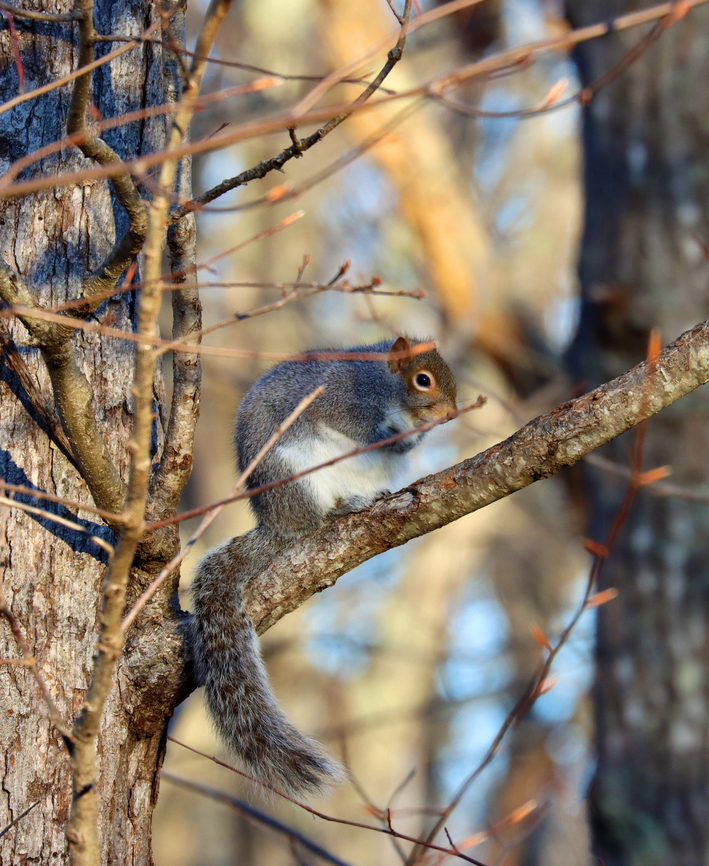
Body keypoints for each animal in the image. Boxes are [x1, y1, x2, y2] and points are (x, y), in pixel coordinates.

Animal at [189, 336, 457, 796]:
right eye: (423, 380)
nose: (452, 413)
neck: (384, 385)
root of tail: (280, 523)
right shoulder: (342, 397)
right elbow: (357, 428)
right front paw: (393, 434)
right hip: (297, 474)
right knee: (318, 519)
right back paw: (343, 508)